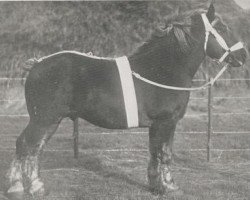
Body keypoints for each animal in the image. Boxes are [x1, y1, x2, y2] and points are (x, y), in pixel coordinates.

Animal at [6, 2, 248, 198]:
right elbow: (165, 154)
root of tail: (37, 64)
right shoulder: (166, 122)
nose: (243, 55)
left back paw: (18, 187)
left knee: (27, 146)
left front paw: (155, 186)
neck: (163, 68)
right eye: (222, 29)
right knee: (29, 146)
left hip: (46, 120)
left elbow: (155, 153)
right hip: (44, 119)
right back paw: (31, 188)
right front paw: (169, 187)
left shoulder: (157, 126)